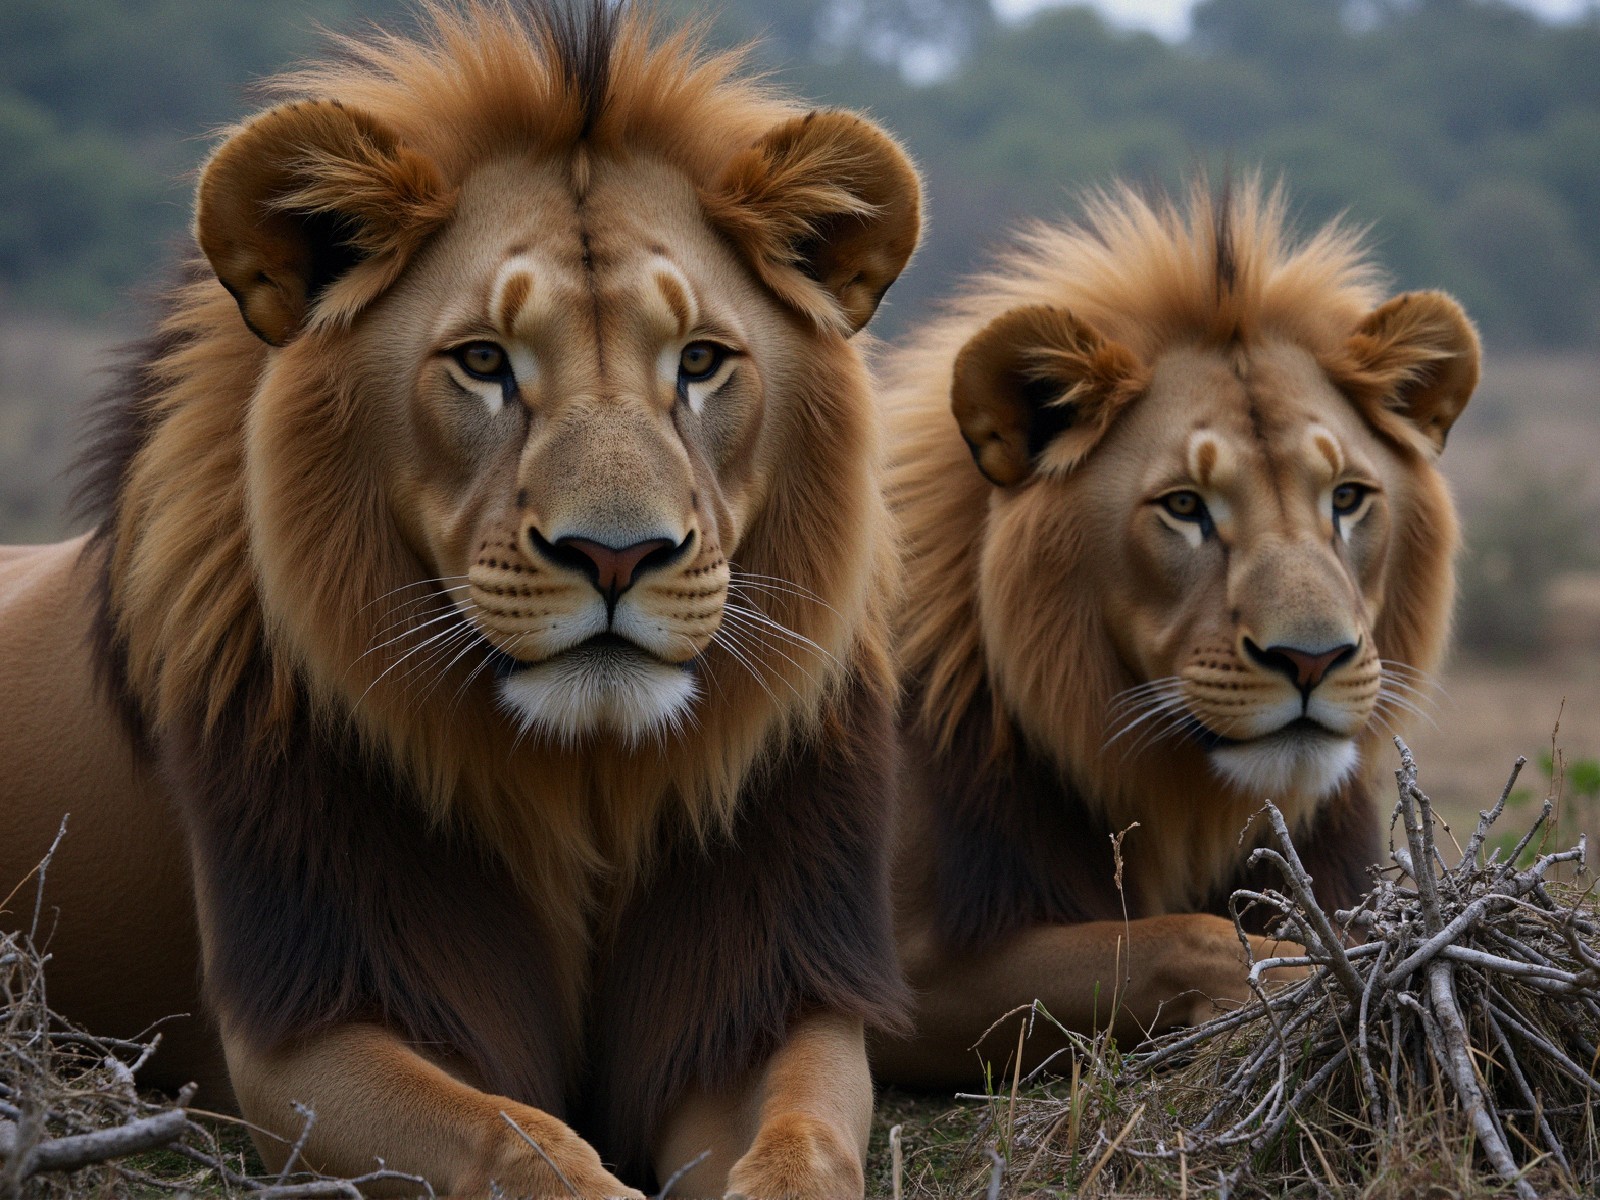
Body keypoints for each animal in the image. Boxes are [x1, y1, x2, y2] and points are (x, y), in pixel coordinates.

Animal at [0, 3, 922, 1195]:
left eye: (702, 361)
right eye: (483, 361)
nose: (616, 555)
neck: (586, 785)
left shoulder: (762, 993)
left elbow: (804, 1141)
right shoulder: (316, 1019)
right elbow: (517, 1139)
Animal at [870, 178, 1478, 1087]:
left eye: (1346, 497)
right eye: (1185, 506)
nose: (1312, 659)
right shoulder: (884, 970)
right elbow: (1182, 937)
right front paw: (1301, 981)